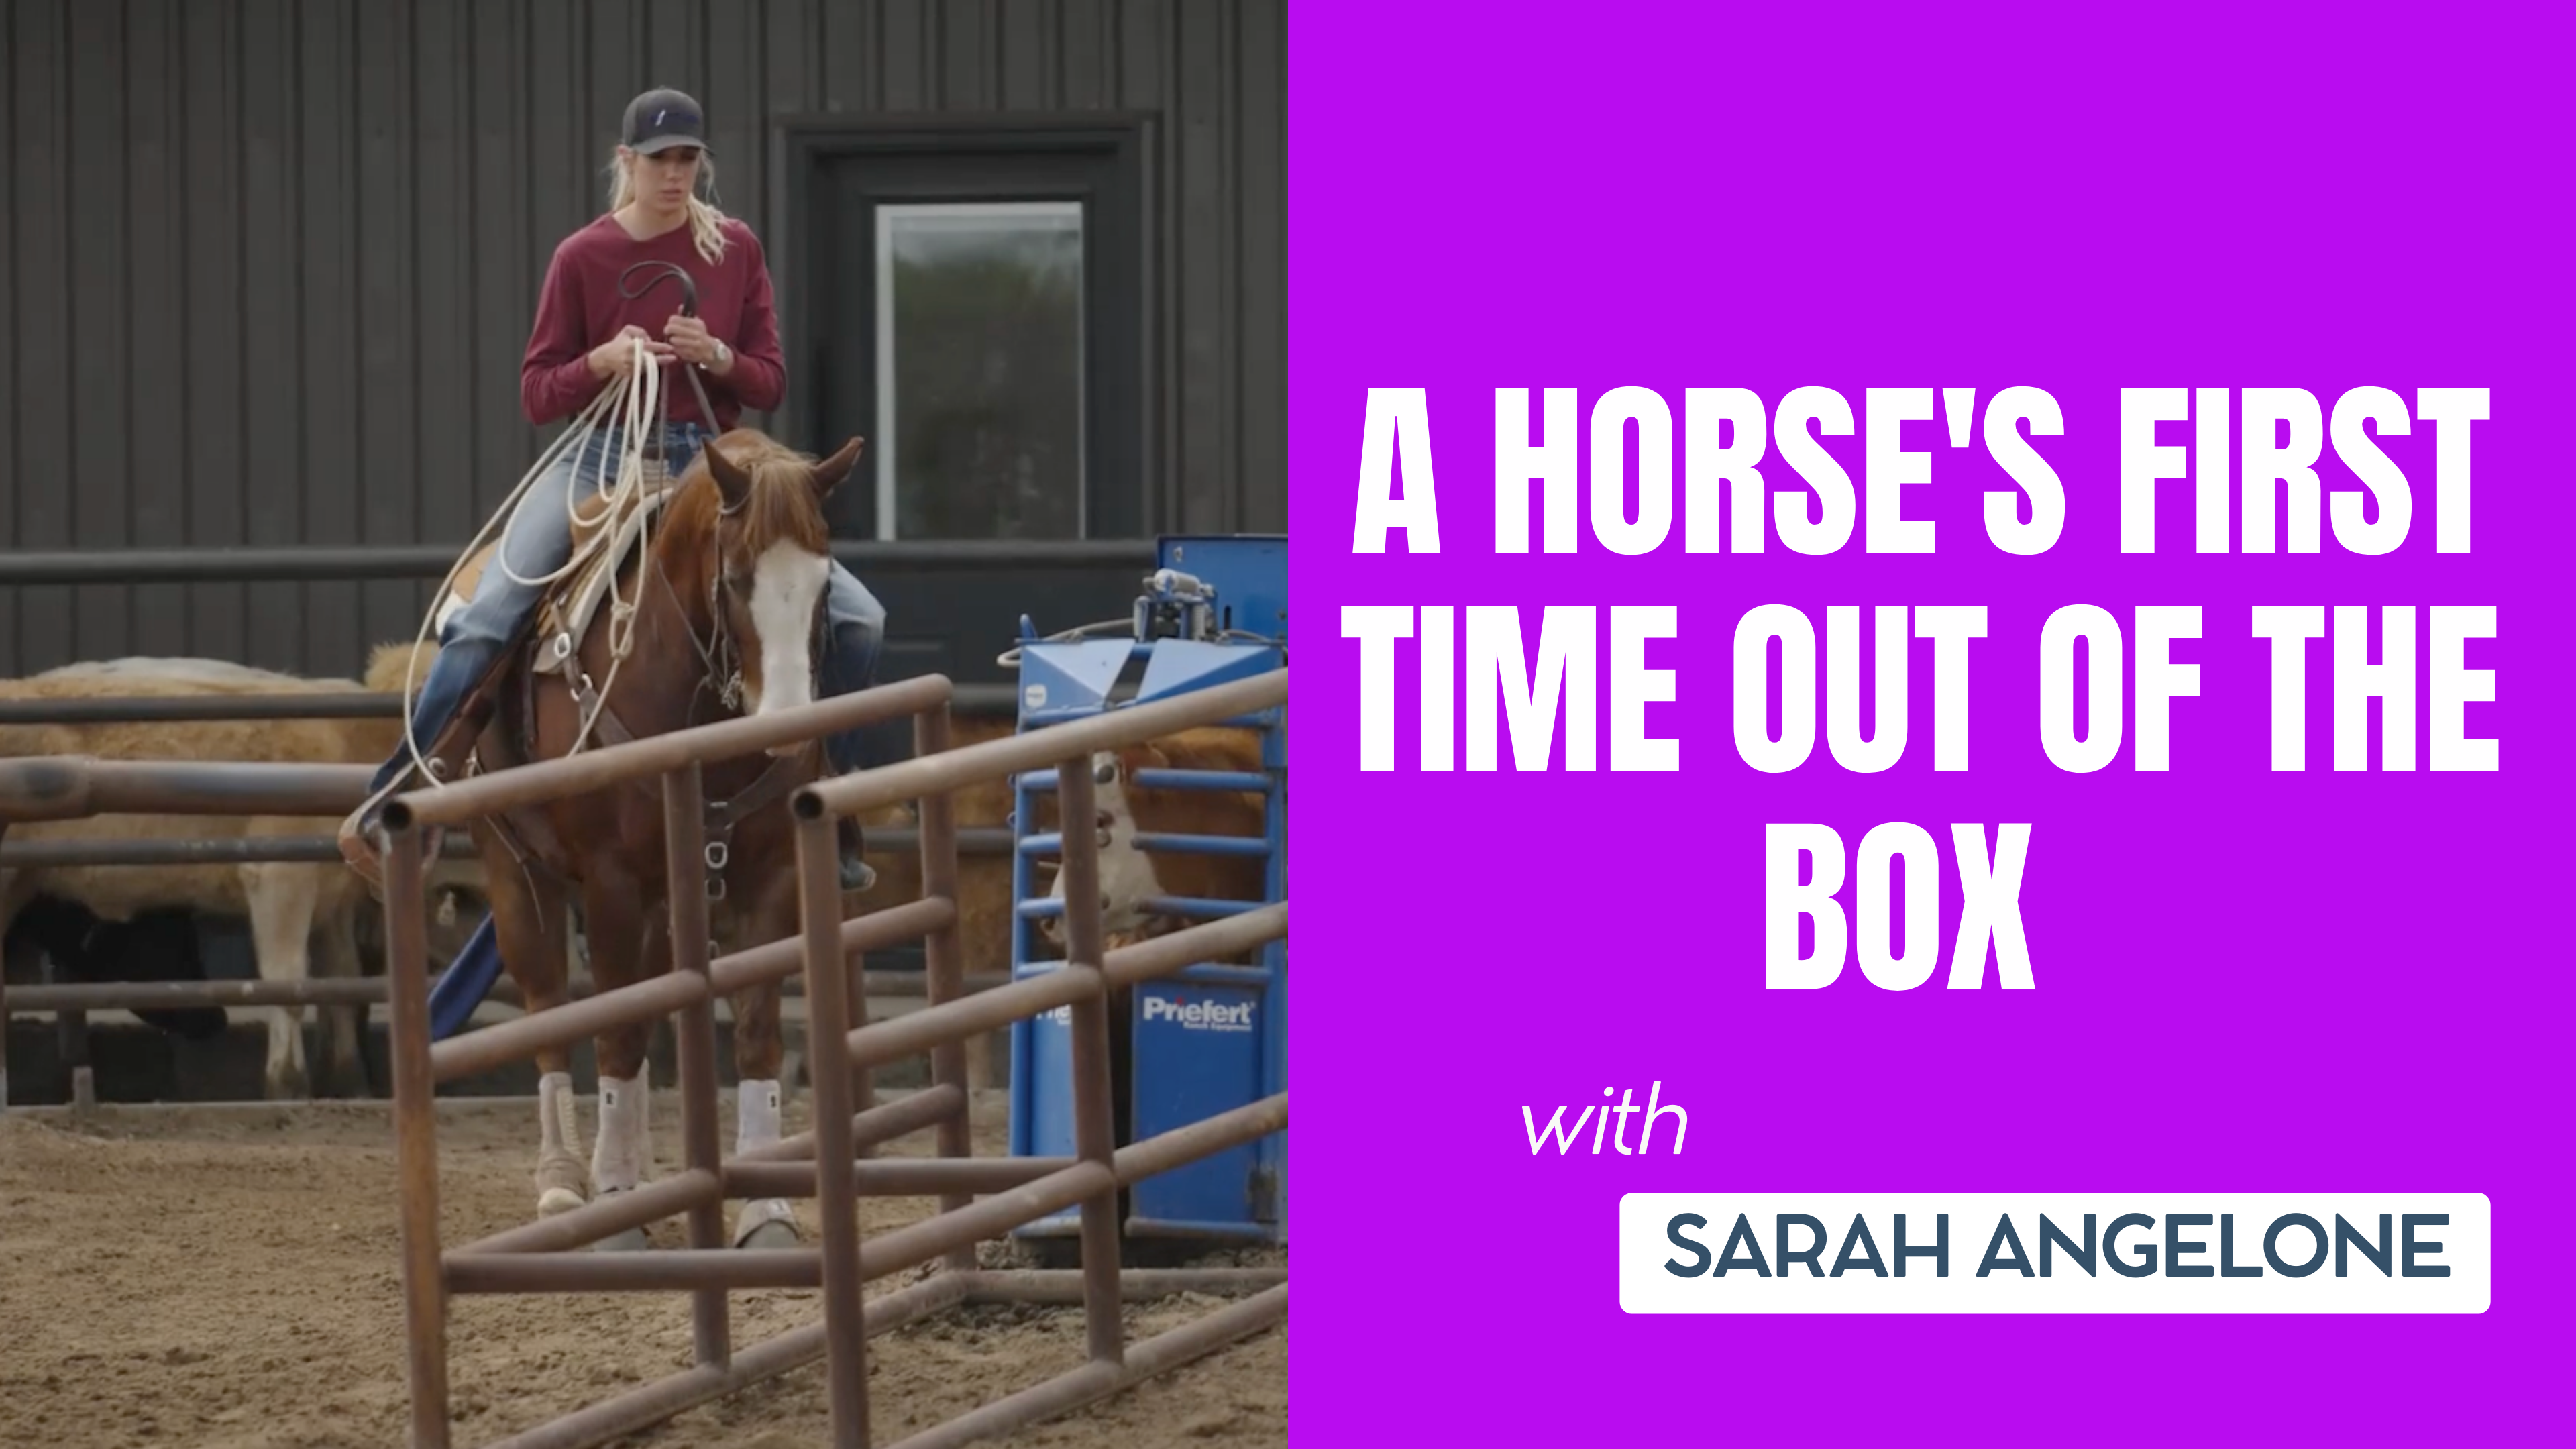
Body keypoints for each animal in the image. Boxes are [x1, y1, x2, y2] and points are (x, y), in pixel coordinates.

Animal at [447, 427, 863, 1250]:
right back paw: (565, 1184)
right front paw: (613, 1204)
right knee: (552, 1008)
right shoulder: (611, 883)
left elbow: (756, 1037)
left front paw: (765, 1210)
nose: (787, 726)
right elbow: (614, 1035)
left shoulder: (769, 880)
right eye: (734, 578)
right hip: (519, 874)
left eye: (826, 580)